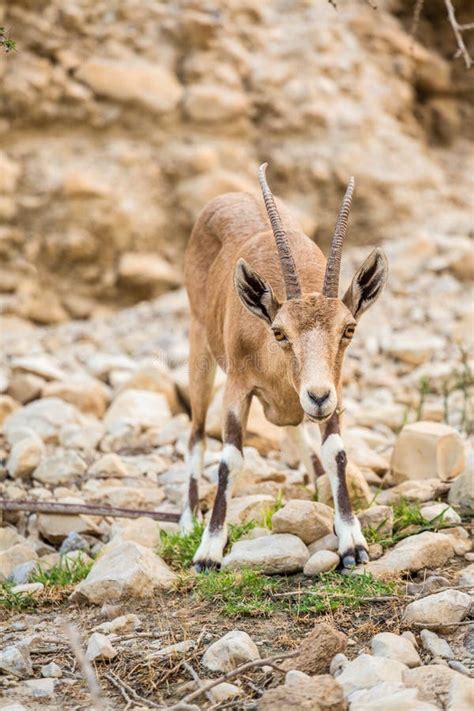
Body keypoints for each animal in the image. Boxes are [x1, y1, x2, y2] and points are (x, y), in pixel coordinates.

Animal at [180, 164, 386, 572]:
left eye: (348, 329)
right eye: (279, 331)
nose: (317, 396)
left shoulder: (335, 390)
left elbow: (336, 452)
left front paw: (351, 541)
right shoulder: (237, 389)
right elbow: (229, 459)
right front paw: (208, 551)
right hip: (200, 348)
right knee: (196, 432)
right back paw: (188, 520)